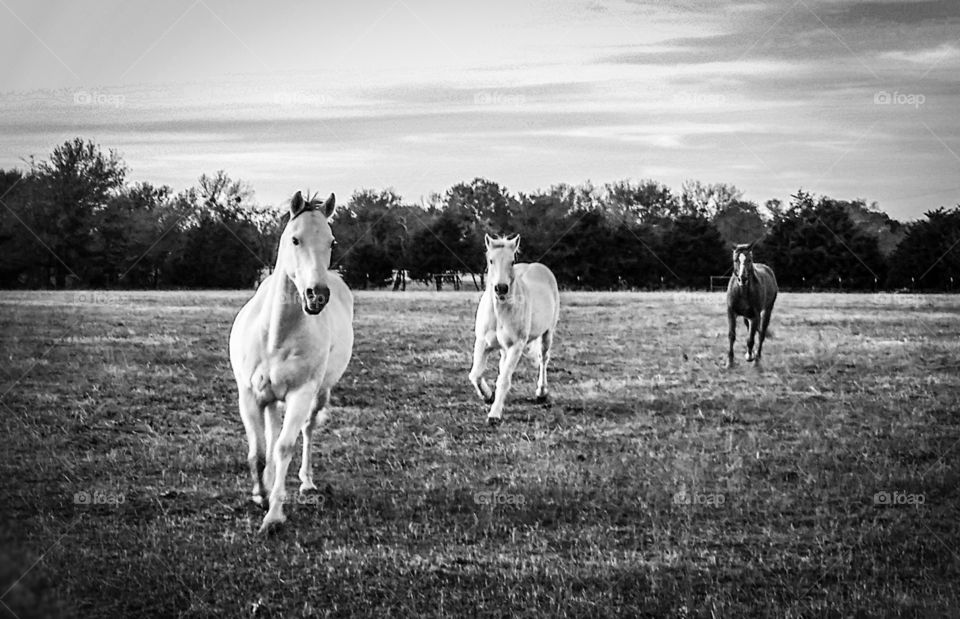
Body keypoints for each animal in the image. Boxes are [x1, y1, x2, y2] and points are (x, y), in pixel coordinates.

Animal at [229, 190, 352, 532]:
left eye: (332, 241)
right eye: (295, 239)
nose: (316, 296)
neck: (275, 335)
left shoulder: (301, 394)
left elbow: (285, 446)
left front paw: (273, 514)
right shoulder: (249, 396)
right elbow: (258, 451)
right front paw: (260, 494)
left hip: (319, 394)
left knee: (307, 431)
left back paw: (306, 482)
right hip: (269, 398)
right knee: (270, 437)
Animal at [468, 234, 560, 426]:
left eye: (511, 261)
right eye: (491, 260)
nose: (501, 288)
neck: (500, 312)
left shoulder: (515, 346)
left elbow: (504, 379)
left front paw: (494, 414)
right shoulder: (482, 343)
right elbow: (475, 374)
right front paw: (488, 396)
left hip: (547, 335)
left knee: (543, 360)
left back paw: (541, 393)